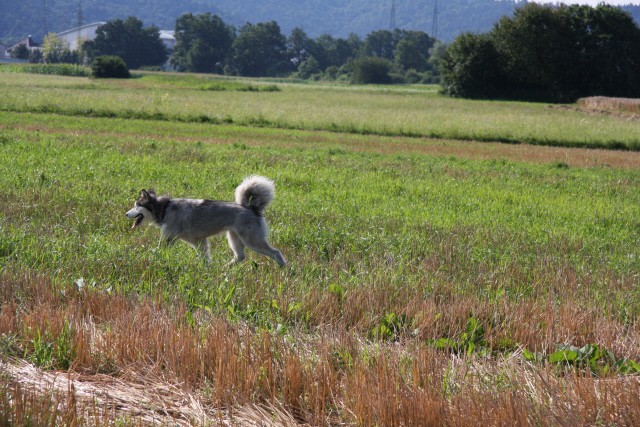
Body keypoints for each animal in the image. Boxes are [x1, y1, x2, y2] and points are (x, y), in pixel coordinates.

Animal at [126, 176, 286, 266]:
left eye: (136, 205)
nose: (126, 214)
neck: (165, 208)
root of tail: (251, 208)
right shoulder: (200, 242)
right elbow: (205, 260)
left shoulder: (167, 240)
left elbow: (157, 251)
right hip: (234, 239)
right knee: (240, 257)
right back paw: (225, 269)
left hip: (252, 241)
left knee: (276, 252)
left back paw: (284, 269)